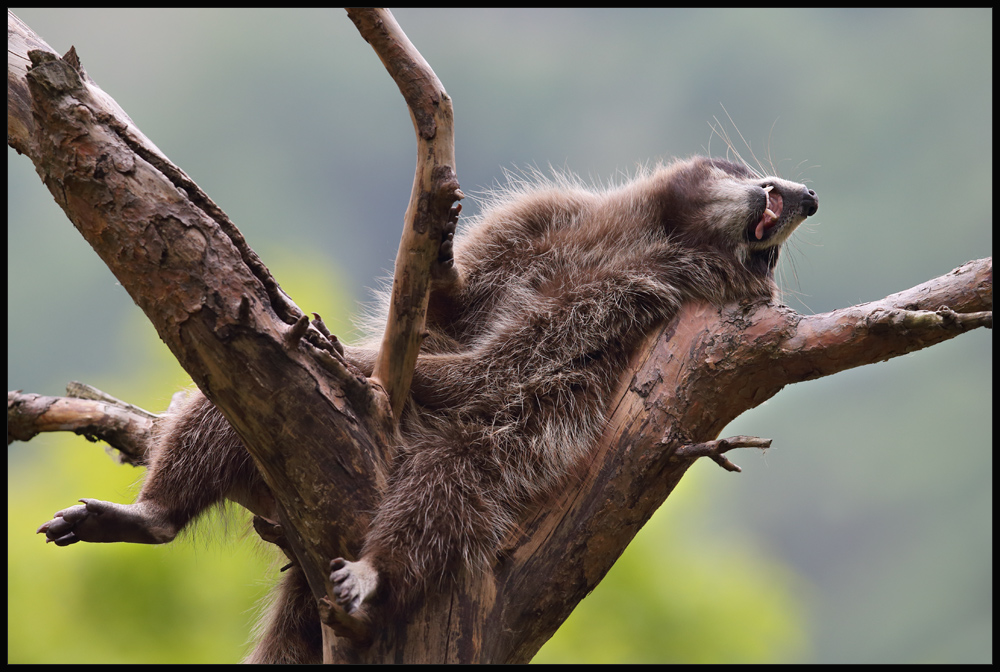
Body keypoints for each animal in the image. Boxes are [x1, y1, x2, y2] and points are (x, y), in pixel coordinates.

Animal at [39, 156, 820, 660]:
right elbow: (458, 301)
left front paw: (403, 369)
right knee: (210, 415)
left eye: (775, 255)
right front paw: (440, 280)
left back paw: (383, 562)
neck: (666, 233)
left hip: (500, 445)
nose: (809, 195)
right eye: (763, 178)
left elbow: (513, 356)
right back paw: (158, 508)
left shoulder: (637, 293)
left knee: (456, 476)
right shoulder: (548, 213)